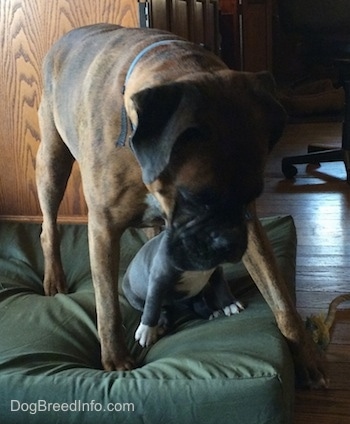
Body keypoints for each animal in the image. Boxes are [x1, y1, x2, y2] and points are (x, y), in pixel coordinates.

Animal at [35, 23, 326, 388]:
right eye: (198, 198)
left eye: (251, 198)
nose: (230, 245)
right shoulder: (102, 228)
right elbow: (106, 304)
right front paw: (115, 359)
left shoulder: (250, 230)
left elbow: (280, 296)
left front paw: (306, 357)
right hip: (52, 164)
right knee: (49, 228)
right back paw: (55, 278)